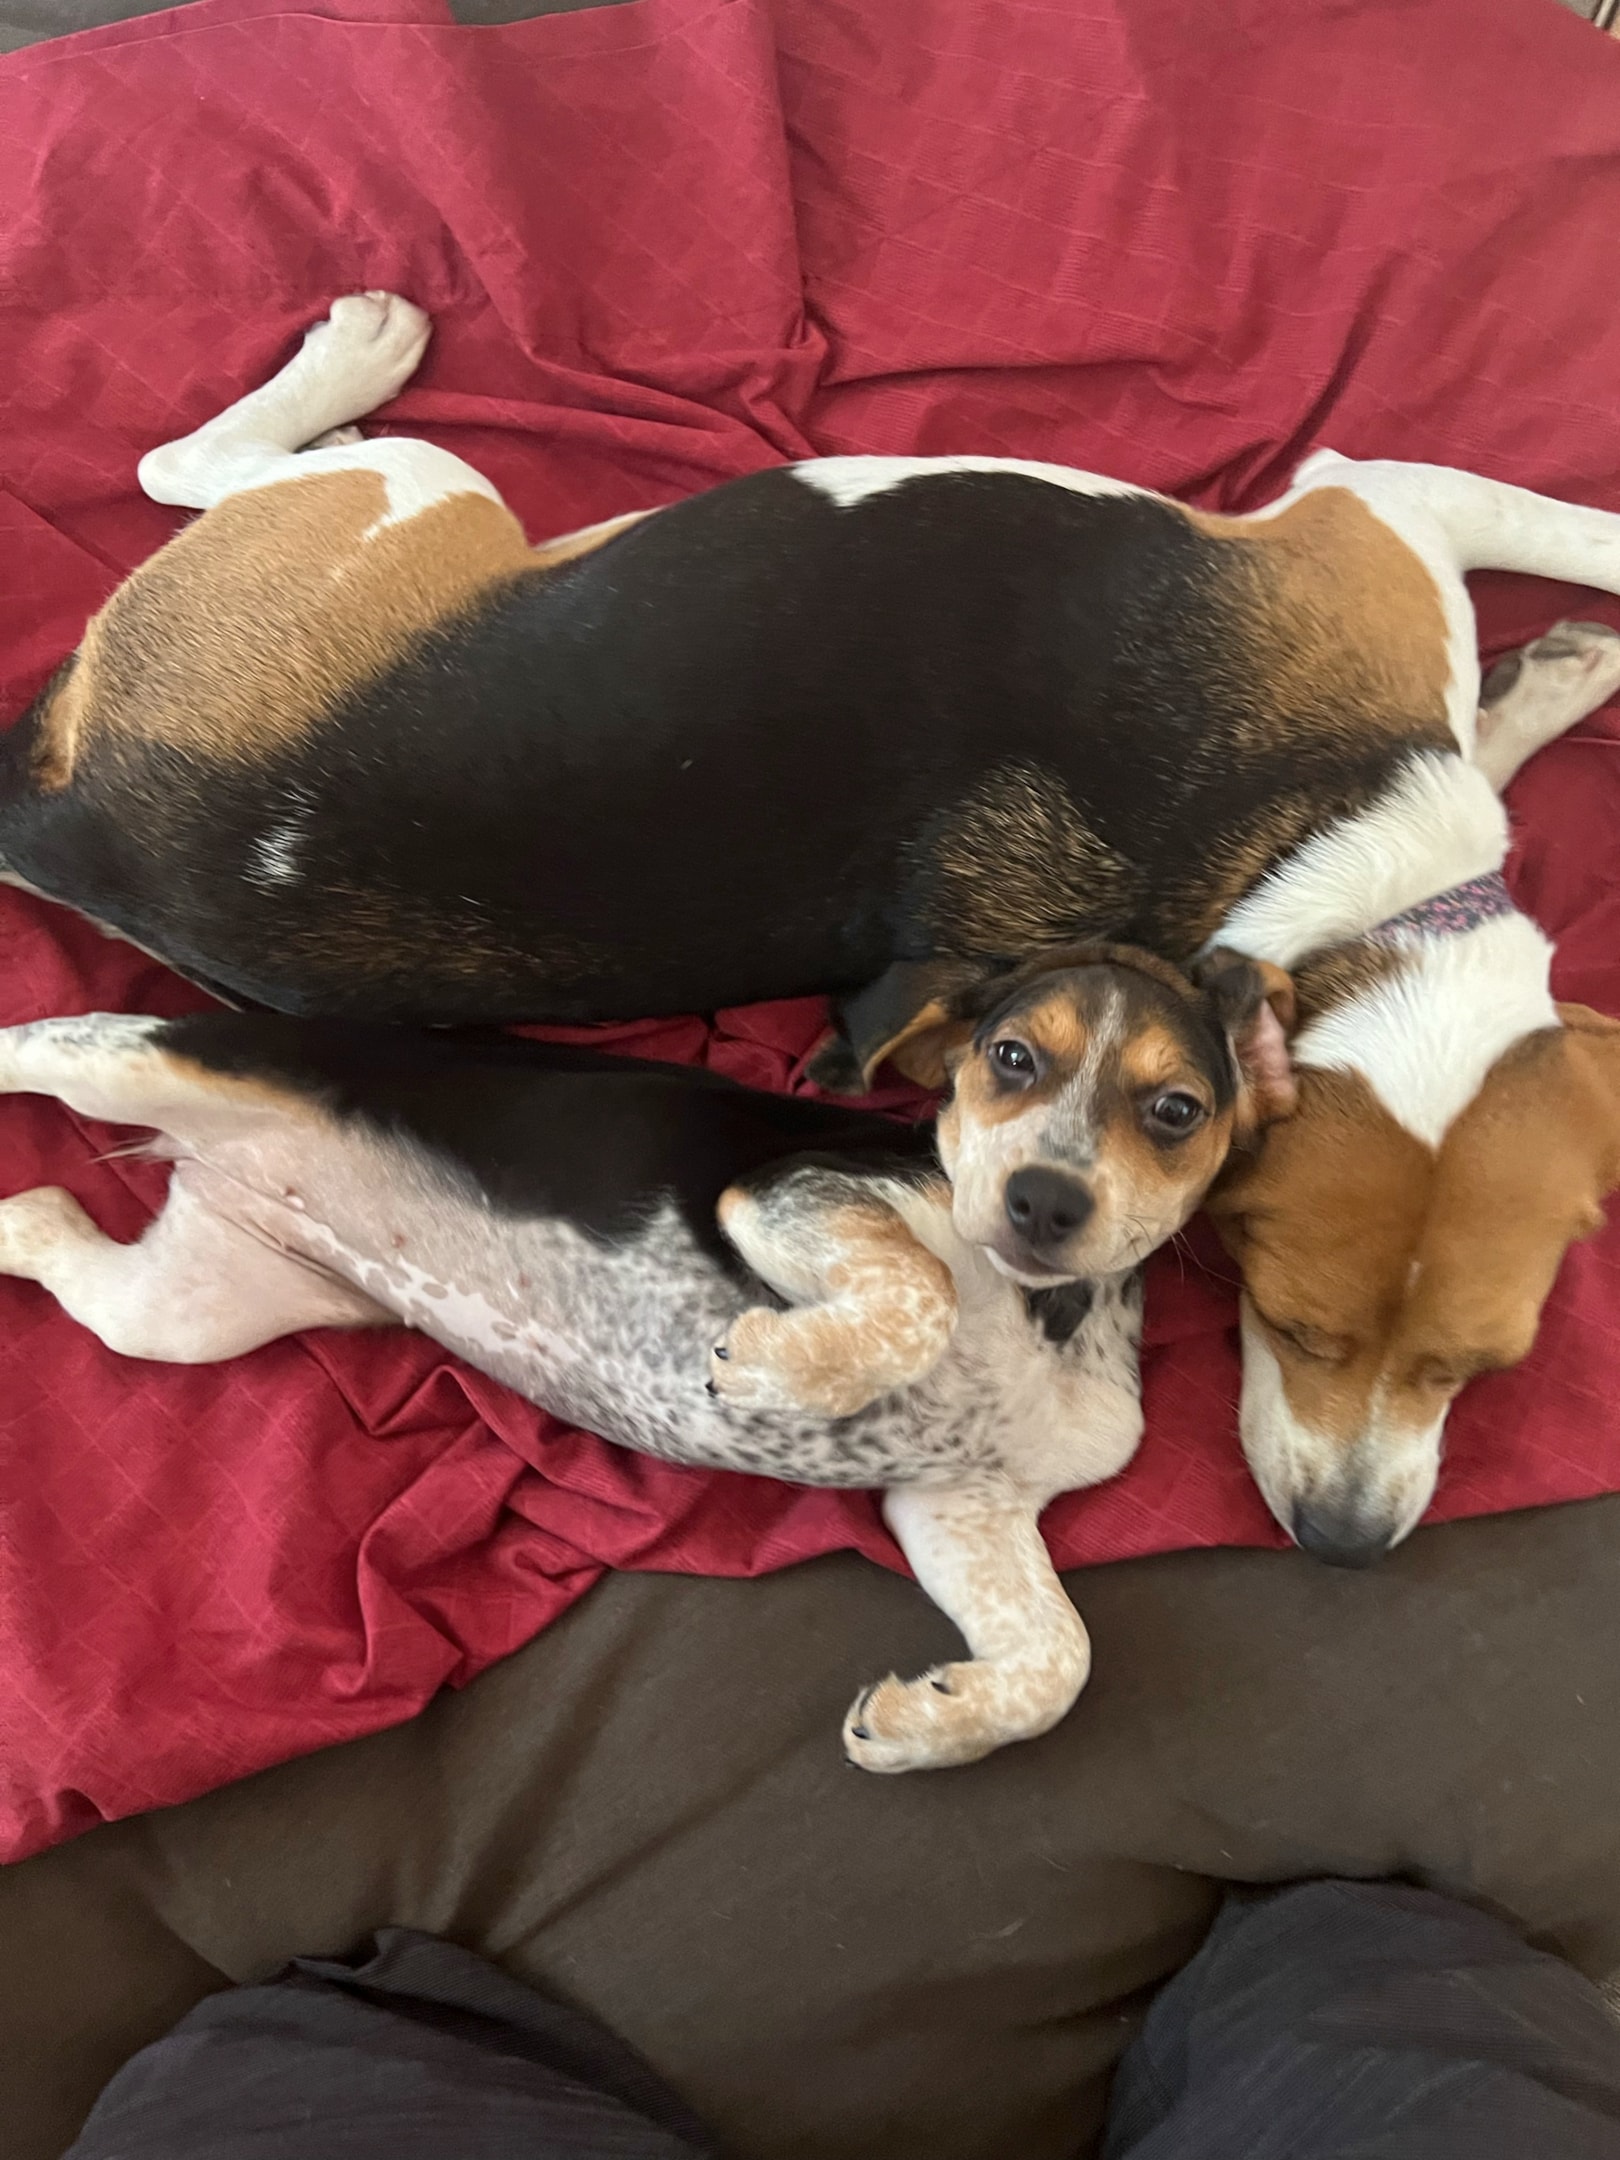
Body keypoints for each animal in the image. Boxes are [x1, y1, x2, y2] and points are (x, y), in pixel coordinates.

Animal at [0, 946, 1278, 1771]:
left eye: (1175, 1110)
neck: (1043, 1314)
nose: (1042, 1201)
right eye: (1010, 1057)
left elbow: (1063, 1659)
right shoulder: (786, 1195)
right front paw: (777, 1366)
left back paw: (19, 1220)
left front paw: (930, 1724)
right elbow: (914, 1289)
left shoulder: (962, 1504)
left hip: (190, 1304)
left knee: (49, 1229)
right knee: (29, 1046)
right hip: (148, 1063)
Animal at [9, 295, 1620, 1563]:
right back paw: (352, 356)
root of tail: (83, 822)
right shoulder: (1379, 502)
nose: (1345, 1547)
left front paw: (1541, 689)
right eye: (1288, 1323)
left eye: (1477, 1367)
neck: (1329, 890)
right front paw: (1558, 650)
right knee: (181, 463)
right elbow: (1566, 532)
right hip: (417, 488)